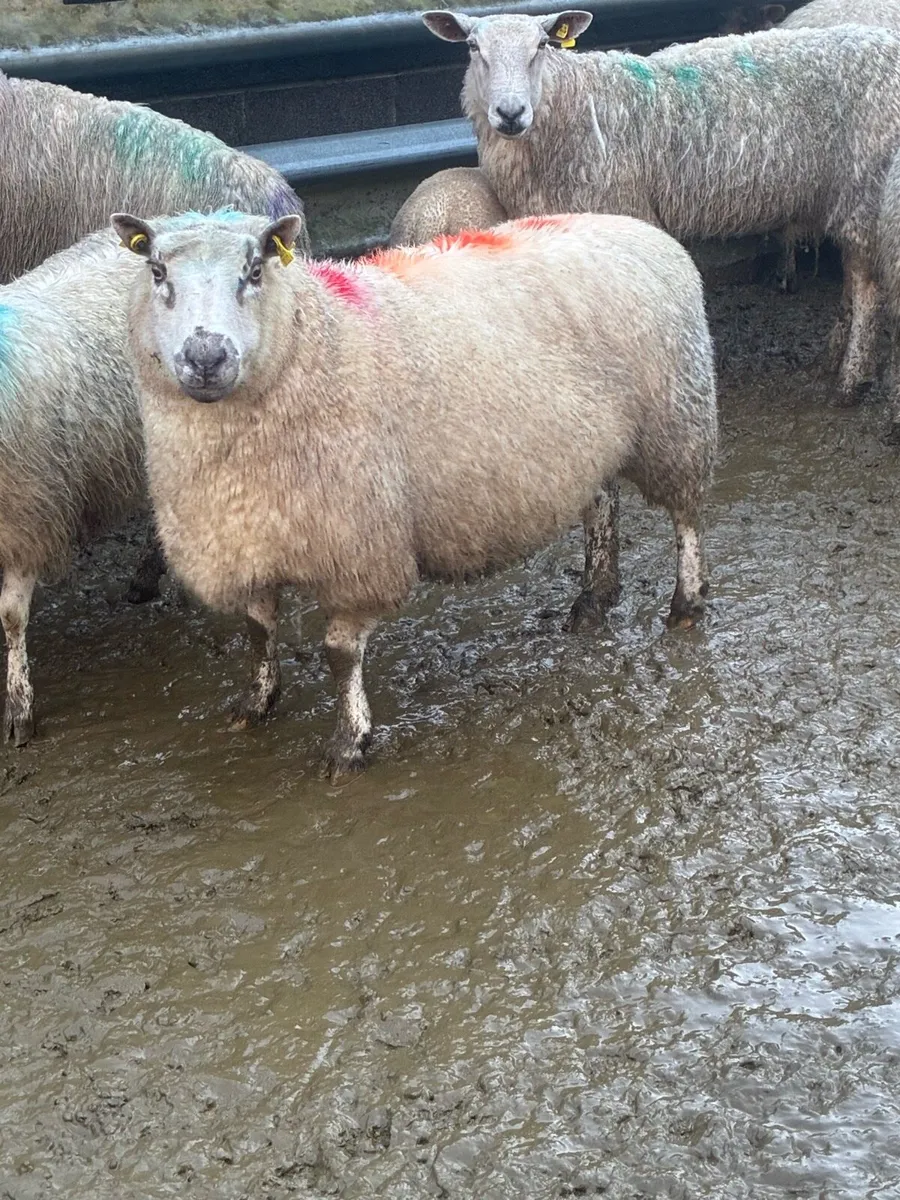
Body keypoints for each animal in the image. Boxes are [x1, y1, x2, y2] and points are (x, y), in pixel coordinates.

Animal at [114, 208, 718, 778]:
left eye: (255, 270)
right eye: (157, 271)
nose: (206, 356)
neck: (315, 338)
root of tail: (635, 227)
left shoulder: (360, 549)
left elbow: (339, 654)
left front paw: (349, 743)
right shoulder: (247, 543)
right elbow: (258, 633)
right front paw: (255, 704)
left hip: (676, 419)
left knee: (686, 517)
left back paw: (685, 604)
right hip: (590, 443)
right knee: (602, 506)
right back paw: (594, 597)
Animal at [422, 10, 900, 404]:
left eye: (541, 45)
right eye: (472, 47)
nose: (510, 112)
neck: (573, 107)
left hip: (865, 188)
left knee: (868, 287)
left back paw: (850, 382)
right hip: (840, 195)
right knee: (851, 281)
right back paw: (830, 359)